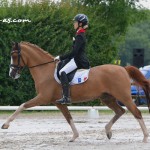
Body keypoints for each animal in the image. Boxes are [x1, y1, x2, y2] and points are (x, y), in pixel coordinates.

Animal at [1, 41, 149, 142]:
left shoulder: (43, 98)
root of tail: (123, 68)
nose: (11, 74)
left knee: (136, 112)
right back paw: (108, 131)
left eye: (14, 55)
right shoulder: (58, 102)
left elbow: (22, 105)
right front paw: (74, 136)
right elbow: (68, 118)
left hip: (124, 97)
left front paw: (5, 124)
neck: (45, 70)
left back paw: (145, 138)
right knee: (120, 111)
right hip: (107, 98)